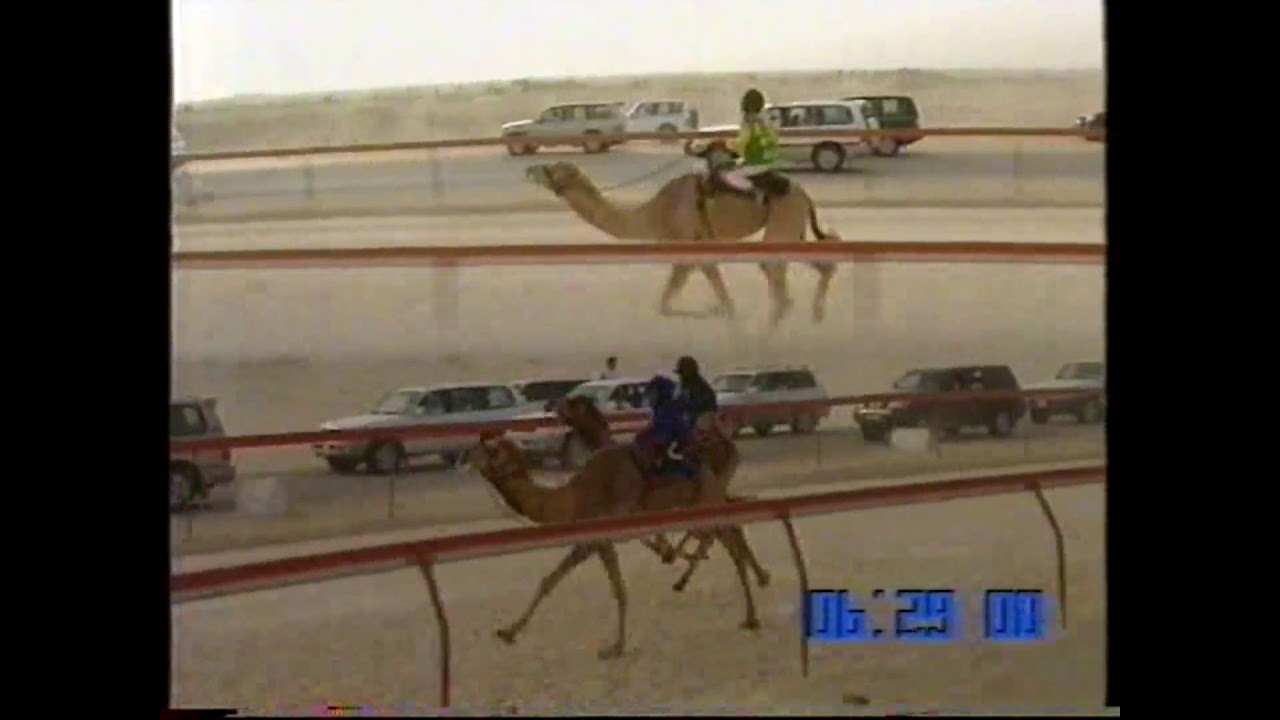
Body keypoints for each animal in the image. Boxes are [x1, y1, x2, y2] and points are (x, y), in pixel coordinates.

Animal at [471, 429, 763, 659]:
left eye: (493, 451)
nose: (469, 453)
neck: (573, 498)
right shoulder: (588, 542)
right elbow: (549, 581)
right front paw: (508, 632)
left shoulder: (599, 539)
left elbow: (619, 590)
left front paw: (616, 648)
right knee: (729, 536)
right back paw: (750, 604)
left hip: (704, 505)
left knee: (730, 539)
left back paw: (751, 610)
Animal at [525, 146, 843, 329]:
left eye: (551, 170)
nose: (530, 169)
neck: (656, 212)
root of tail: (805, 194)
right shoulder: (692, 252)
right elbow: (673, 302)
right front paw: (714, 310)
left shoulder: (690, 247)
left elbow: (680, 303)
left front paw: (719, 314)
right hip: (793, 227)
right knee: (817, 265)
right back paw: (816, 316)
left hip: (784, 219)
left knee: (777, 278)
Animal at [554, 394, 771, 592]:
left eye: (573, 403)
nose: (556, 405)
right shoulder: (644, 510)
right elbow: (652, 537)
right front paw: (669, 553)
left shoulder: (636, 507)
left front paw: (670, 554)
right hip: (709, 498)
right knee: (727, 531)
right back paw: (758, 576)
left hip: (705, 499)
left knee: (720, 533)